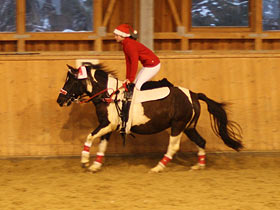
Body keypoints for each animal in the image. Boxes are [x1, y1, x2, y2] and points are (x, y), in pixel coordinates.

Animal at [55, 62, 242, 172]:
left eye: (71, 81)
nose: (60, 100)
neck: (108, 94)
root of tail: (194, 95)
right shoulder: (107, 125)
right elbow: (102, 144)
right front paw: (95, 165)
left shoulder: (107, 124)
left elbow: (89, 137)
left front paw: (85, 161)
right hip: (189, 127)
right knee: (201, 141)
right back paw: (199, 165)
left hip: (178, 125)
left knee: (173, 147)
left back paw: (158, 167)